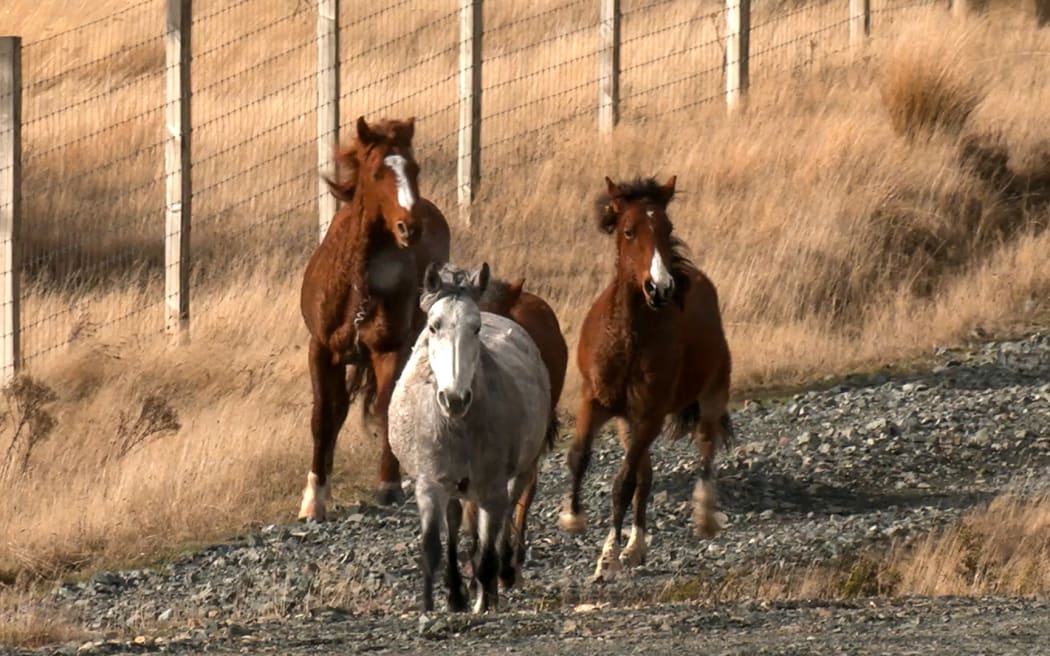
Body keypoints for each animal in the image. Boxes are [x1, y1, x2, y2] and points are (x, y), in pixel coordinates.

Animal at [298, 115, 451, 521]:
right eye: (378, 171)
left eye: (414, 169)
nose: (409, 228)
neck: (358, 285)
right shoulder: (321, 349)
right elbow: (322, 417)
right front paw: (313, 500)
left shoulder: (388, 349)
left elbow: (385, 409)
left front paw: (388, 485)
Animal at [388, 262, 555, 613]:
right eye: (433, 326)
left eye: (475, 328)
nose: (455, 399)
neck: (458, 427)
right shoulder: (429, 484)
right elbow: (432, 547)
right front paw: (437, 603)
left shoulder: (492, 487)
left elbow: (488, 546)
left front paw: (484, 599)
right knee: (455, 521)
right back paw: (458, 591)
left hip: (518, 472)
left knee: (507, 516)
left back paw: (499, 578)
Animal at [557, 176, 733, 581]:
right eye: (629, 230)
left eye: (667, 228)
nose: (661, 287)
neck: (629, 340)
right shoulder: (595, 401)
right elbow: (579, 456)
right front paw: (573, 516)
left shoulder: (650, 414)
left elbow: (622, 483)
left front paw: (607, 557)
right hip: (628, 422)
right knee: (646, 475)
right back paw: (635, 547)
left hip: (709, 396)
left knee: (705, 450)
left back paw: (704, 516)